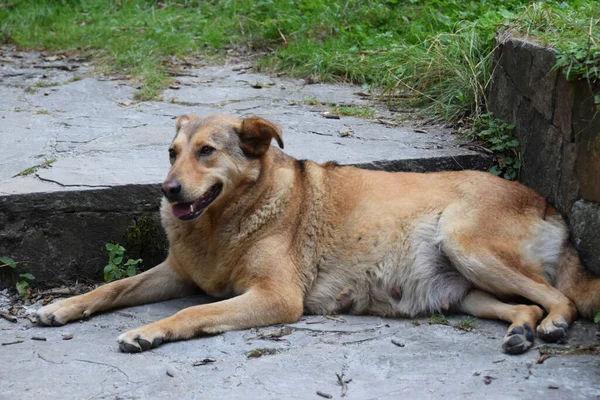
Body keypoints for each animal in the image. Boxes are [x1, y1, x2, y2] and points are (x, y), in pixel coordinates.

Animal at [36, 113, 600, 354]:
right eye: (172, 152)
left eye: (207, 152)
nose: (168, 190)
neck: (228, 221)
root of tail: (547, 202)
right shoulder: (177, 273)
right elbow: (113, 287)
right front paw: (62, 306)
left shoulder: (276, 297)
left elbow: (192, 312)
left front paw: (149, 330)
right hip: (466, 293)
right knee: (526, 305)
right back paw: (522, 331)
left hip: (467, 244)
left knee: (563, 299)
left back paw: (553, 326)